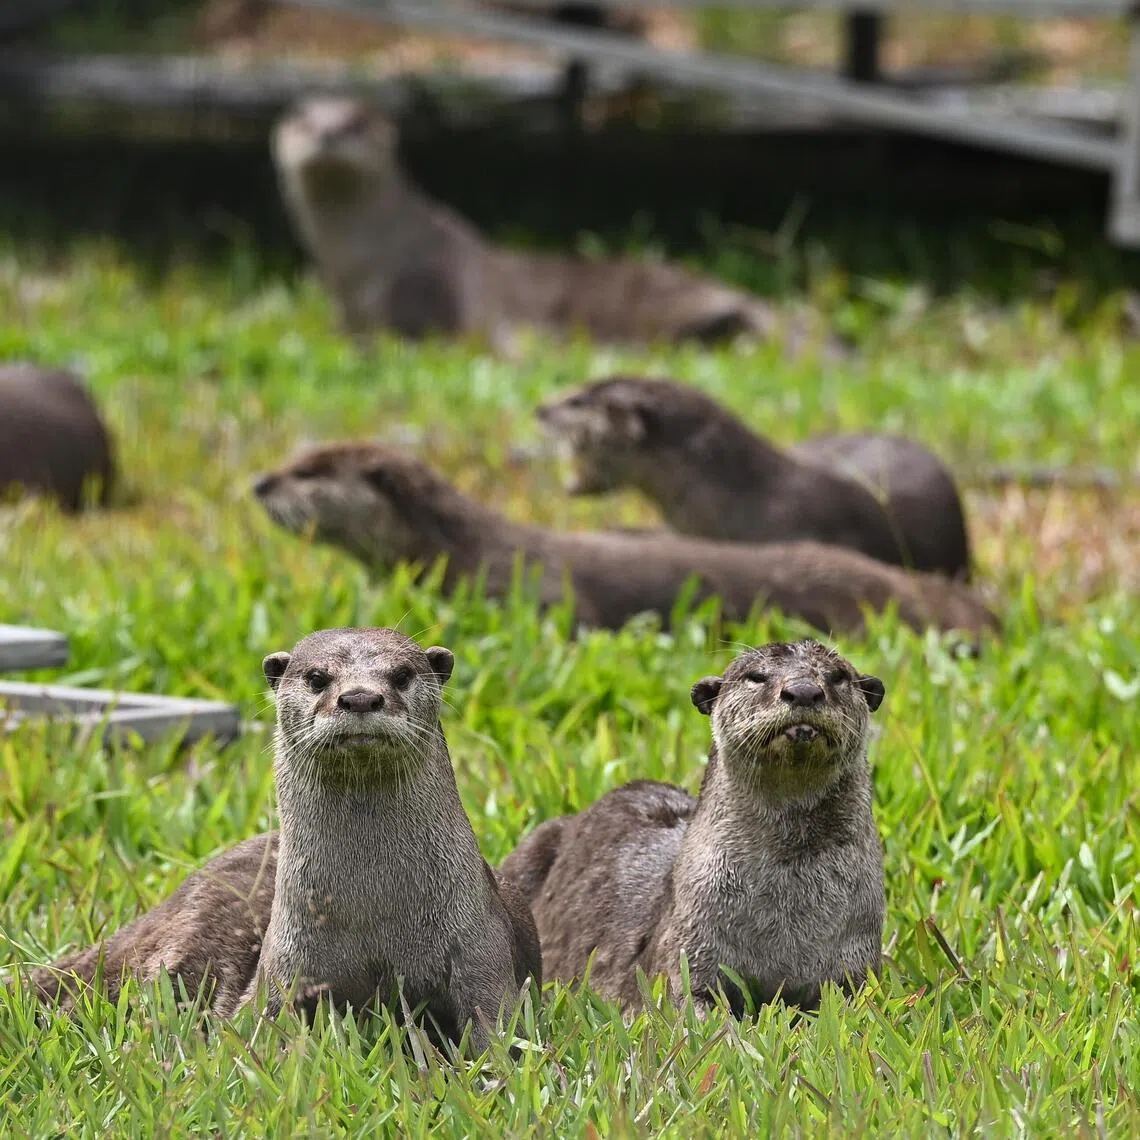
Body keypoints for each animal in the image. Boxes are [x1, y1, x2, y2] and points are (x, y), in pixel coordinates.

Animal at [25, 628, 541, 1052]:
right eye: (317, 677)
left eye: (401, 674)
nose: (359, 697)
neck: (376, 913)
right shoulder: (285, 966)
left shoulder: (479, 949)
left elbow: (500, 1029)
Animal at [271, 97, 822, 351]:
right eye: (303, 120)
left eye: (356, 123)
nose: (327, 132)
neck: (362, 265)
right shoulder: (347, 308)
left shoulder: (423, 290)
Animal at [499, 639, 886, 1015]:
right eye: (756, 676)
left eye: (837, 676)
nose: (804, 690)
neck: (789, 912)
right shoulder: (689, 952)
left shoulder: (854, 962)